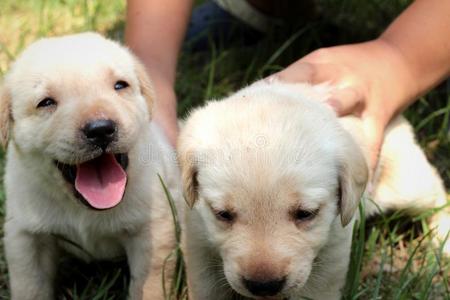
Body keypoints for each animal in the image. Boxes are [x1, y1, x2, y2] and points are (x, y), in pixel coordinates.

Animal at [1, 32, 183, 300]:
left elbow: (148, 283)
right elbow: (30, 287)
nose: (100, 130)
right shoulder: (25, 236)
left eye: (120, 86)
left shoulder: (153, 230)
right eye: (46, 103)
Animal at [178, 80, 448, 300]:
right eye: (222, 214)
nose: (264, 286)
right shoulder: (197, 238)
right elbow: (205, 286)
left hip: (404, 182)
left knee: (437, 194)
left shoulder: (333, 249)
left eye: (305, 213)